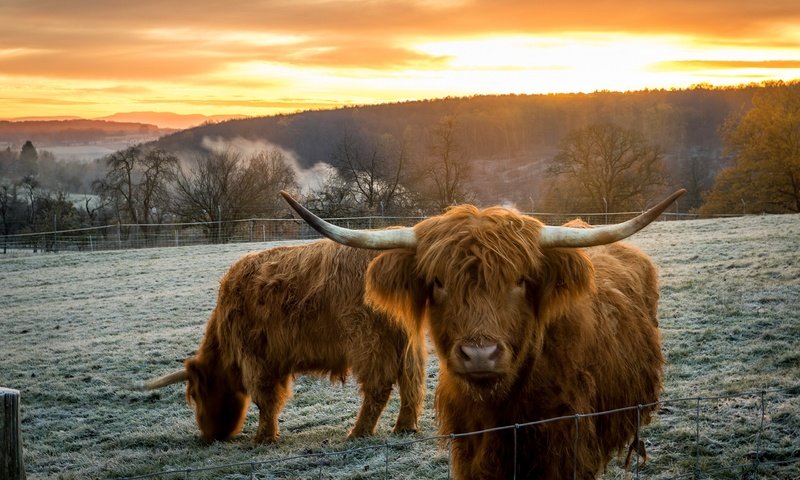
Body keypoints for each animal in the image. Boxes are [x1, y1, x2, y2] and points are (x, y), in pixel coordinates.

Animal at [139, 240, 424, 442]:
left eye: (196, 395)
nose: (209, 435)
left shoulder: (255, 357)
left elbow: (265, 398)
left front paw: (263, 438)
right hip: (407, 343)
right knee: (411, 381)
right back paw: (405, 427)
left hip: (369, 341)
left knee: (379, 386)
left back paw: (358, 432)